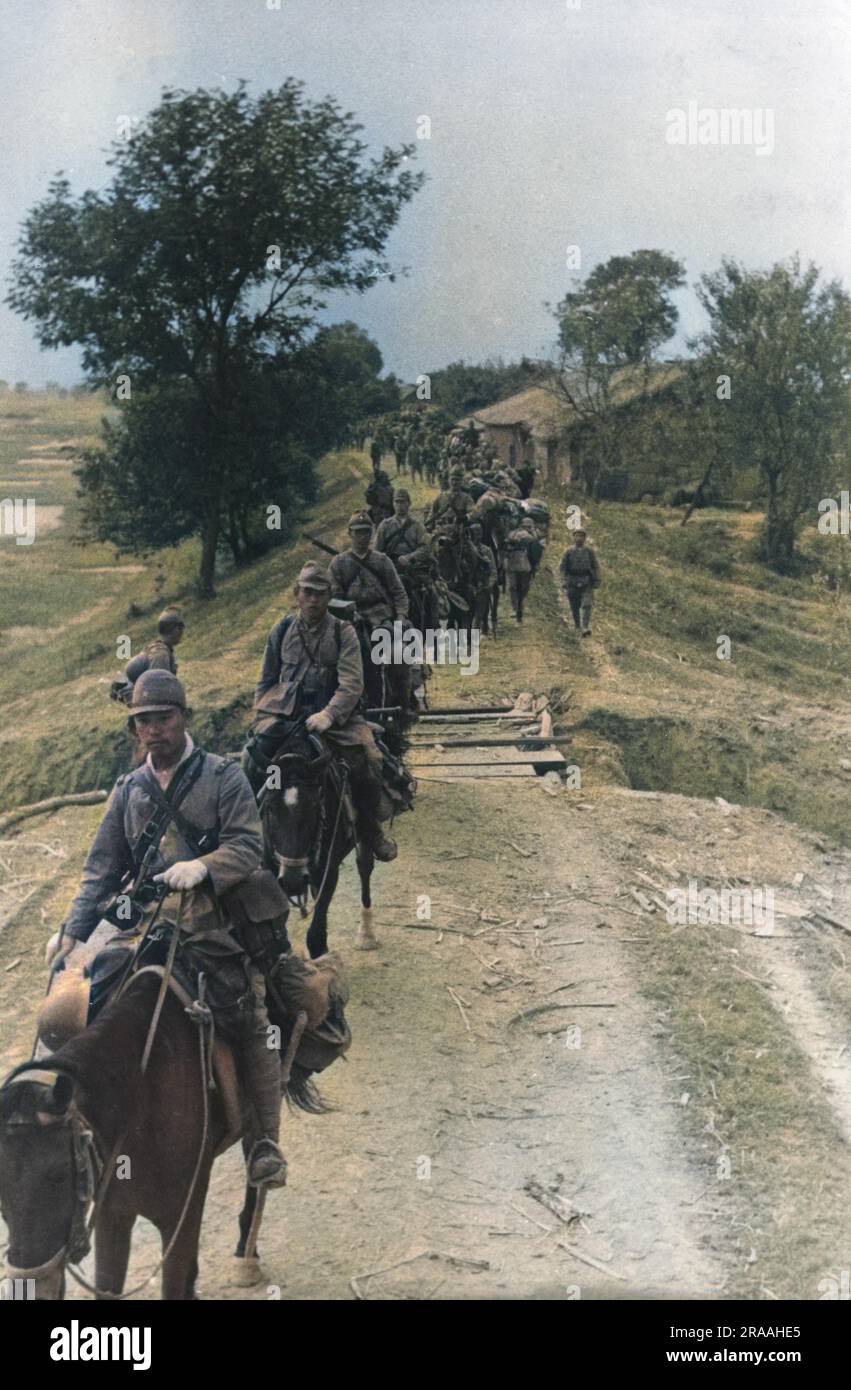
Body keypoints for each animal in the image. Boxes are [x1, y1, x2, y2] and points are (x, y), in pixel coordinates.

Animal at [0, 978, 265, 1301]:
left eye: (60, 1176)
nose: (32, 1288)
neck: (139, 1100)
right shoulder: (112, 1217)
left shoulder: (179, 1219)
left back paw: (246, 1253)